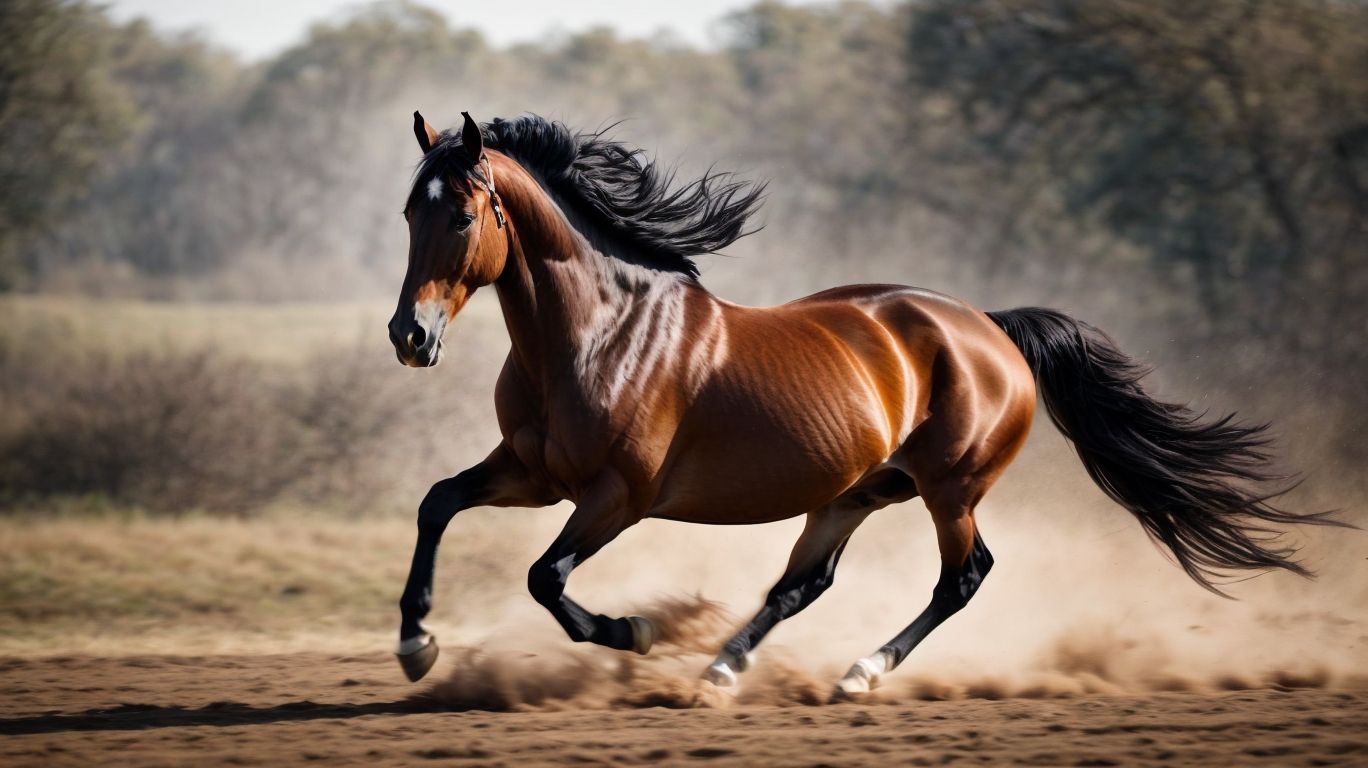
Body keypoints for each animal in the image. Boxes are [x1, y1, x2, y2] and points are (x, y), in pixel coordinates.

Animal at [387, 111, 1342, 697]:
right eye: (407, 211)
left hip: (950, 488)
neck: (599, 333)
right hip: (853, 492)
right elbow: (437, 503)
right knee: (805, 582)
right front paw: (414, 646)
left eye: (463, 214)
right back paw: (723, 671)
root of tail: (990, 327)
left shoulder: (618, 497)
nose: (410, 336)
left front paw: (642, 631)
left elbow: (546, 578)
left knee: (963, 575)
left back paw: (858, 672)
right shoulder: (533, 473)